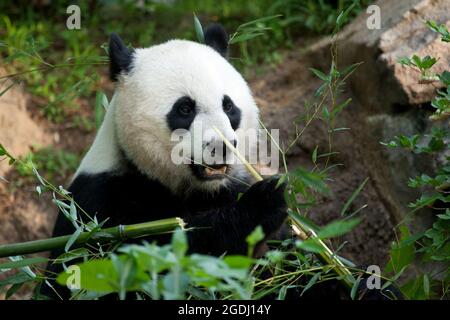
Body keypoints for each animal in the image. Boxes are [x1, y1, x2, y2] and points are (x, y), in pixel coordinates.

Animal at [42, 24, 400, 300]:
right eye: (184, 109)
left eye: (229, 106)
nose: (222, 146)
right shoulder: (98, 206)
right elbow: (118, 268)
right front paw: (261, 204)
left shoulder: (233, 186)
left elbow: (298, 268)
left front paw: (363, 285)